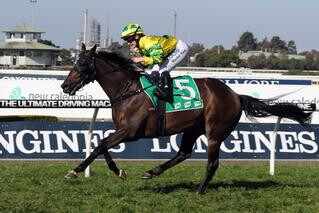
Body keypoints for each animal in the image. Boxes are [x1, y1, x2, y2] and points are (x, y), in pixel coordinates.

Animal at [60, 44, 312, 194]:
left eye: (82, 64)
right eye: (74, 62)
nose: (65, 86)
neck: (128, 89)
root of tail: (235, 95)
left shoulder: (130, 131)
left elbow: (100, 145)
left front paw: (75, 171)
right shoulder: (123, 130)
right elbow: (102, 145)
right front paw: (119, 171)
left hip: (215, 132)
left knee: (212, 163)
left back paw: (200, 190)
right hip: (192, 128)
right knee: (183, 153)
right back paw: (152, 172)